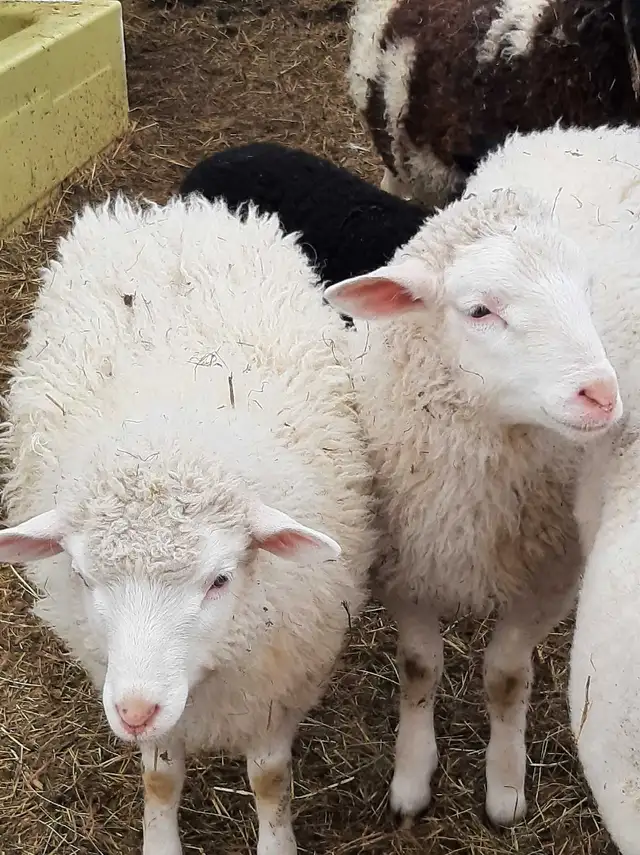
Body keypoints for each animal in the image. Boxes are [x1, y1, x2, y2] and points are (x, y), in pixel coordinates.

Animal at [0, 194, 378, 855]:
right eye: (83, 577)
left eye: (220, 580)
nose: (135, 711)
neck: (172, 435)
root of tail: (164, 211)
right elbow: (160, 779)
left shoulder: (277, 683)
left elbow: (270, 779)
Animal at [322, 123, 627, 827]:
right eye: (480, 311)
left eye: (587, 292)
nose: (601, 395)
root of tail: (590, 129)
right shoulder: (406, 567)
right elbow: (419, 668)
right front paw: (411, 776)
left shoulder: (548, 579)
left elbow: (506, 677)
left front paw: (505, 785)